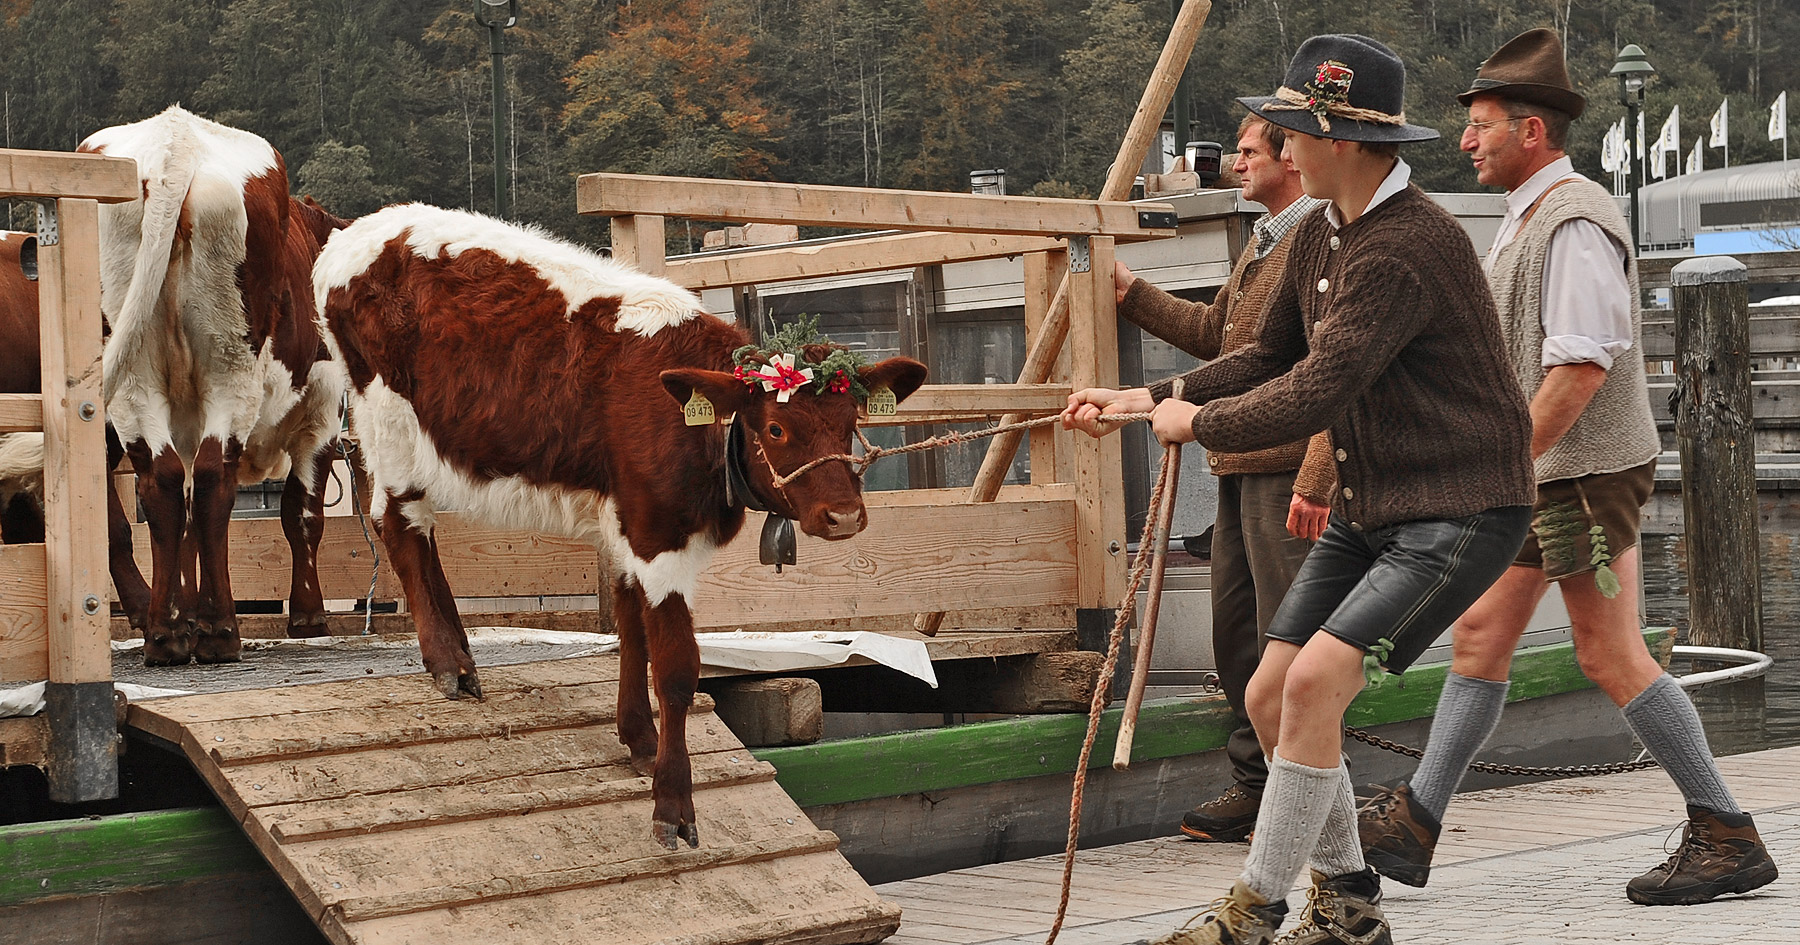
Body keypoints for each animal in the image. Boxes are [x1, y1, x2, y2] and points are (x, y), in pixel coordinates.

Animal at [77, 106, 351, 662]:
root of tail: (174, 142)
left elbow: (183, 529)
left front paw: (186, 616)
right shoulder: (323, 411)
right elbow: (302, 513)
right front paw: (308, 615)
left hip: (132, 377)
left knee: (159, 485)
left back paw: (164, 633)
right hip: (231, 365)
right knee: (210, 478)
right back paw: (222, 630)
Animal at [313, 204, 928, 846]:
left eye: (851, 421)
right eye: (777, 429)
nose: (844, 516)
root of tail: (365, 225)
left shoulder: (629, 522)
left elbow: (631, 627)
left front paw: (639, 739)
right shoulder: (659, 535)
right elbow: (677, 669)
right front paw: (673, 805)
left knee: (424, 532)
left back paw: (461, 651)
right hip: (387, 423)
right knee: (400, 526)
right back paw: (447, 664)